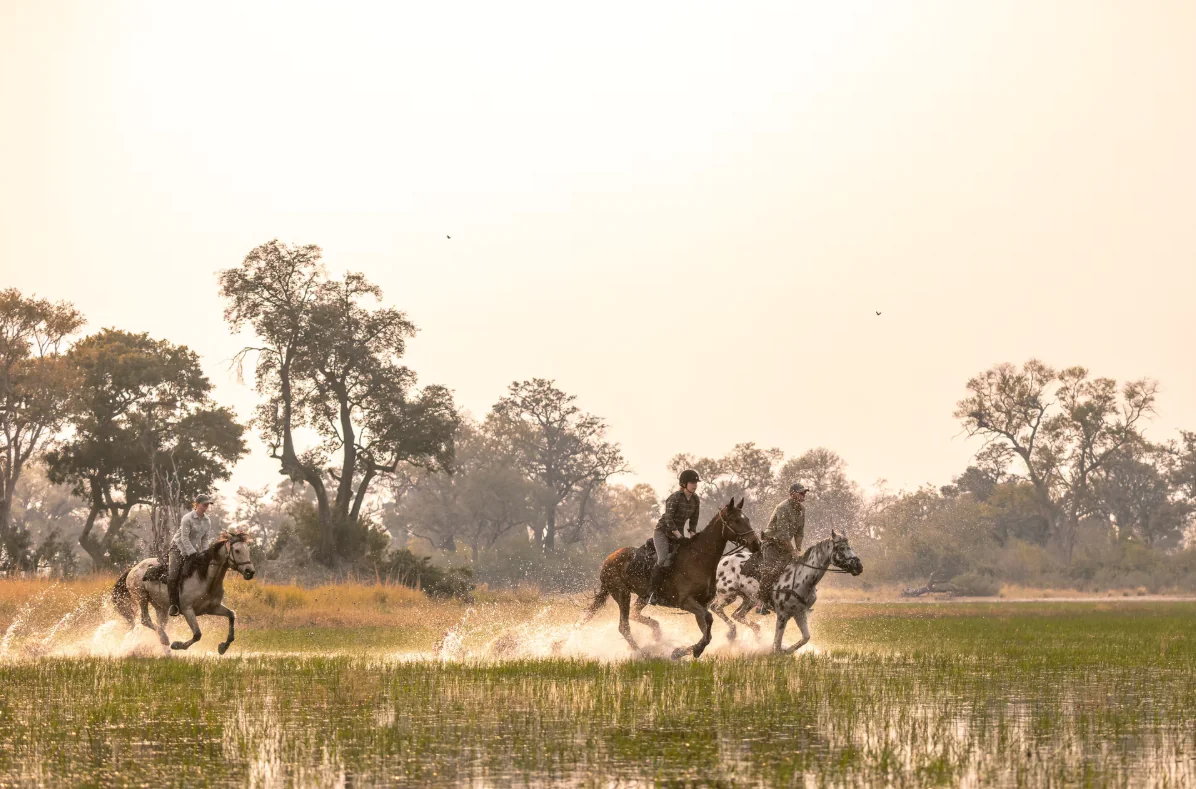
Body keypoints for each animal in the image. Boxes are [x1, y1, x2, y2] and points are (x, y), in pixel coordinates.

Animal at [111, 531, 256, 654]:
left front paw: (223, 647)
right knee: (145, 620)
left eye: (248, 550)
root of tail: (133, 569)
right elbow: (197, 634)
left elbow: (231, 615)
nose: (250, 571)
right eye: (237, 550)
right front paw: (177, 645)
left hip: (161, 607)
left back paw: (167, 651)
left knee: (160, 624)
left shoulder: (213, 608)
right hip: (142, 597)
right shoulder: (187, 610)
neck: (204, 579)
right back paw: (165, 639)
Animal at [578, 498, 760, 659]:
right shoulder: (687, 602)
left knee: (635, 616)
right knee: (624, 626)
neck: (698, 559)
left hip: (642, 596)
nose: (756, 543)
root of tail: (608, 560)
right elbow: (708, 621)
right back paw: (643, 654)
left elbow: (706, 632)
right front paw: (688, 651)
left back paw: (657, 635)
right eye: (736, 520)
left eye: (747, 519)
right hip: (622, 594)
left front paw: (683, 651)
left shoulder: (701, 604)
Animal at [711, 530, 863, 653]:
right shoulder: (782, 615)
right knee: (716, 608)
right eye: (841, 548)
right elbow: (776, 644)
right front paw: (777, 652)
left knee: (738, 615)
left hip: (750, 600)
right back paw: (732, 633)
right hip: (727, 594)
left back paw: (757, 633)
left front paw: (787, 650)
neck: (803, 577)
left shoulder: (800, 613)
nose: (859, 567)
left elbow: (805, 637)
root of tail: (724, 559)